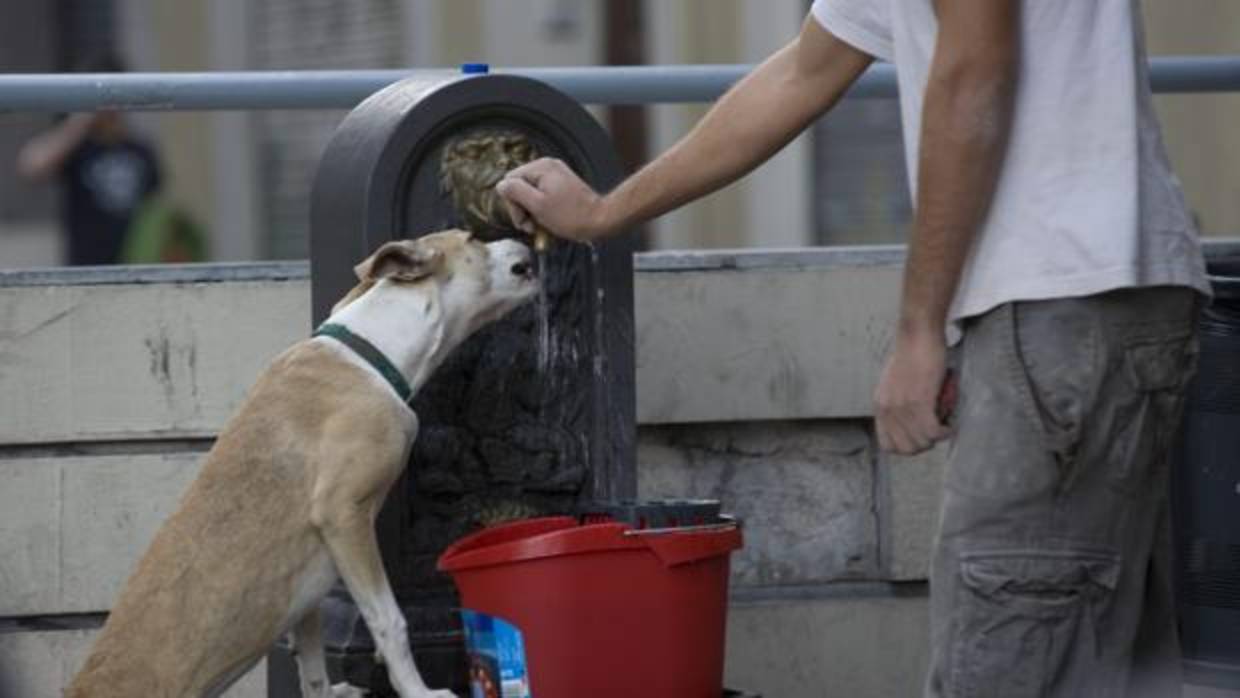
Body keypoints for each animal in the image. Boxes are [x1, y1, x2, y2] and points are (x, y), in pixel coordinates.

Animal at [65, 231, 535, 694]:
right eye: (472, 239)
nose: (526, 242)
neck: (370, 354)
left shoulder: (306, 583)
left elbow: (311, 659)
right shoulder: (343, 515)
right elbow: (389, 621)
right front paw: (418, 692)